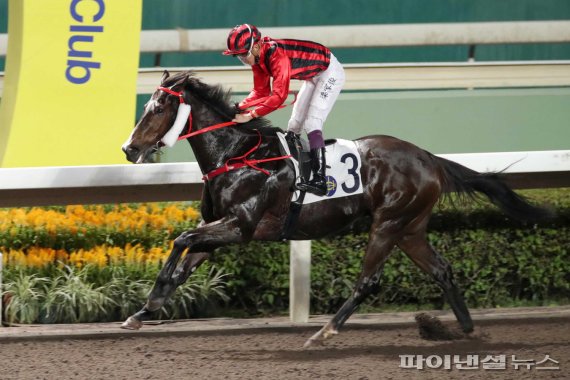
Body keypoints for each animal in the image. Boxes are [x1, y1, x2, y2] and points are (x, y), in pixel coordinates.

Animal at [121, 70, 552, 346]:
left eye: (158, 108)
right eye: (146, 106)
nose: (129, 149)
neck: (237, 155)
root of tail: (429, 158)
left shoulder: (240, 227)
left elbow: (182, 239)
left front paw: (152, 300)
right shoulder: (220, 228)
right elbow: (186, 260)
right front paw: (141, 312)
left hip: (388, 223)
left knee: (368, 281)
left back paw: (323, 332)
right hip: (410, 228)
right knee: (441, 271)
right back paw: (467, 332)